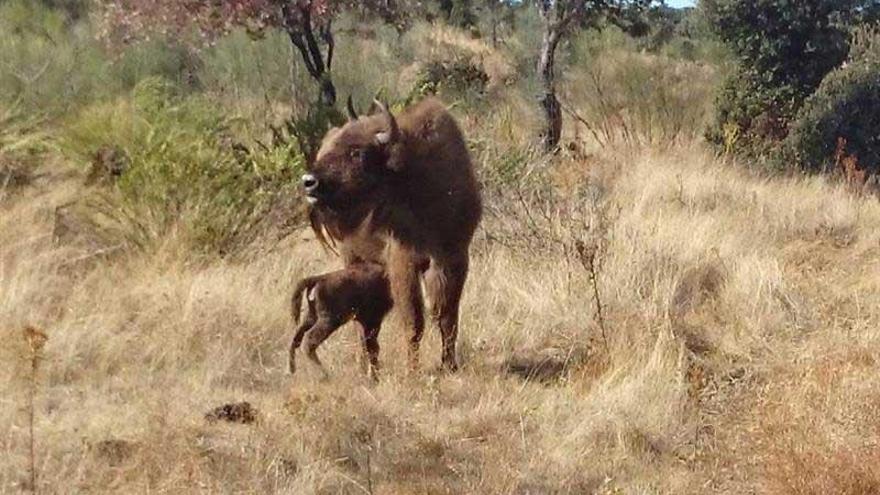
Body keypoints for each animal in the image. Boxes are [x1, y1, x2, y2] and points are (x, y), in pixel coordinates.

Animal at [302, 97, 482, 370]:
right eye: (334, 148)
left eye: (357, 152)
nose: (309, 182)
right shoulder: (403, 263)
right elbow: (414, 321)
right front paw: (413, 370)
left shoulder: (454, 260)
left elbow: (447, 316)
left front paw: (449, 365)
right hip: (351, 257)